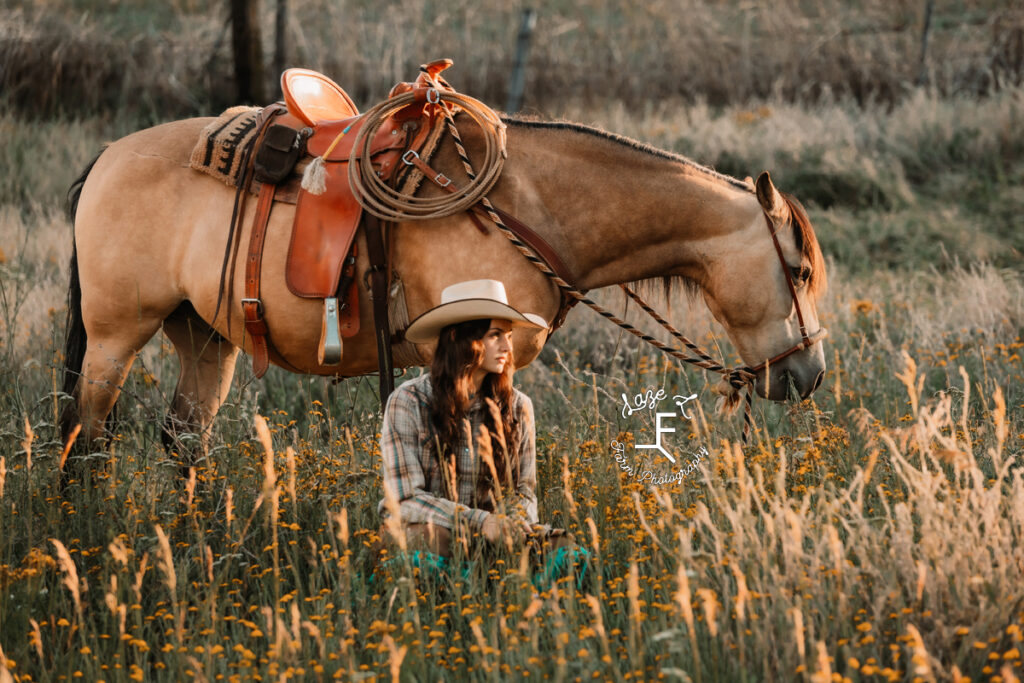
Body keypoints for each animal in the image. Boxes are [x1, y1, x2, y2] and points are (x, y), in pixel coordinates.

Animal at [58, 66, 823, 456]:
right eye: (801, 271)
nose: (810, 373)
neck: (532, 204)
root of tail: (105, 157)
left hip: (204, 339)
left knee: (182, 440)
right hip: (115, 335)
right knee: (84, 435)